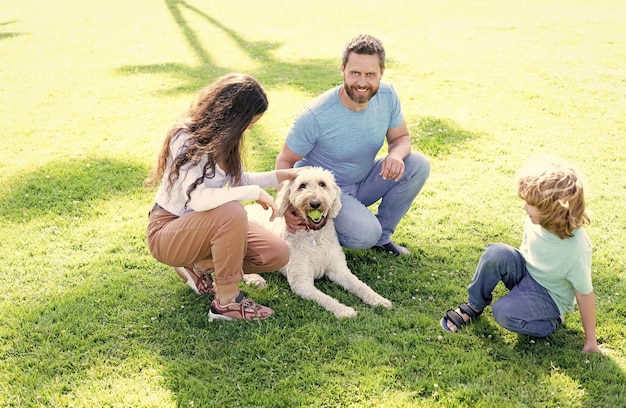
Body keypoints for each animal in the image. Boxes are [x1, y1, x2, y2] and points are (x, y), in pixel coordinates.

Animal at [243, 167, 390, 318]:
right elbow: (326, 298)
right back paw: (255, 279)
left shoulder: (339, 270)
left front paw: (379, 299)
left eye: (322, 184)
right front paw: (344, 310)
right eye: (302, 186)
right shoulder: (302, 283)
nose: (315, 203)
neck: (315, 236)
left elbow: (360, 285)